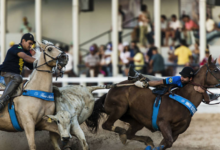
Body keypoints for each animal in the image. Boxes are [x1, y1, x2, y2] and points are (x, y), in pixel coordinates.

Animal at [85, 55, 220, 149]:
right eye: (215, 70)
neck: (184, 97)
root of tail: (111, 90)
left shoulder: (176, 132)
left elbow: (167, 143)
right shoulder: (163, 123)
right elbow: (167, 142)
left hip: (136, 121)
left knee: (129, 133)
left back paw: (145, 139)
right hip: (119, 109)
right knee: (107, 125)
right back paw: (122, 132)